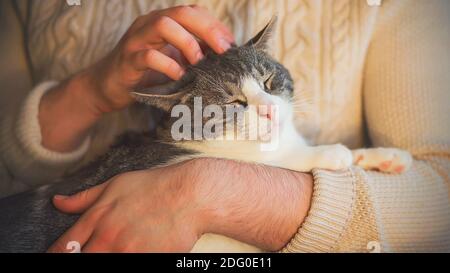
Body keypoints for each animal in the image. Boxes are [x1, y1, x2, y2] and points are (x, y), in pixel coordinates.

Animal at [0, 18, 412, 252]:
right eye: (234, 102)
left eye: (268, 81)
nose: (268, 108)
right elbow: (269, 159)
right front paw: (329, 153)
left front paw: (384, 156)